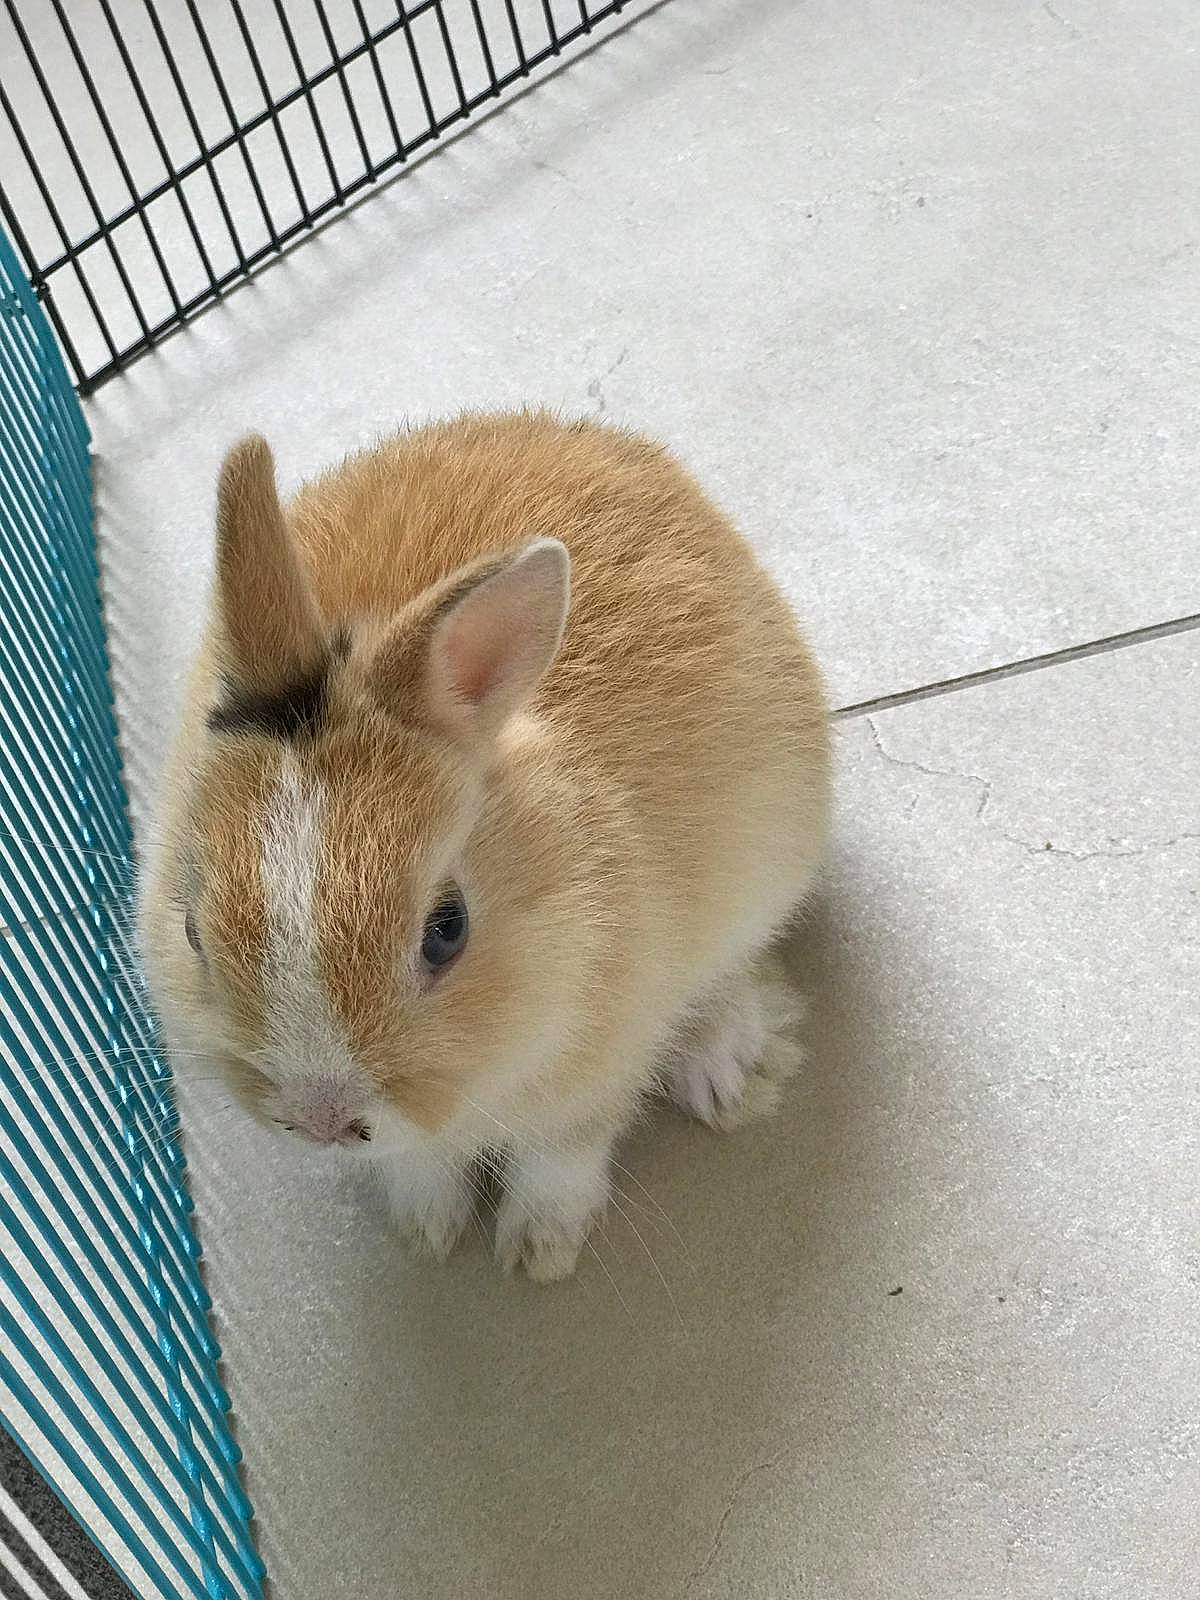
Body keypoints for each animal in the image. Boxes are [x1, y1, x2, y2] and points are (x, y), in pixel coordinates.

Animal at [140, 411, 830, 1281]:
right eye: (192, 931)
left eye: (449, 931)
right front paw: (430, 1233)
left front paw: (540, 1253)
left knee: (734, 967)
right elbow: (420, 1163)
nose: (323, 1119)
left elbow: (560, 1159)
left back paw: (730, 1073)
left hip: (770, 863)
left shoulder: (594, 1072)